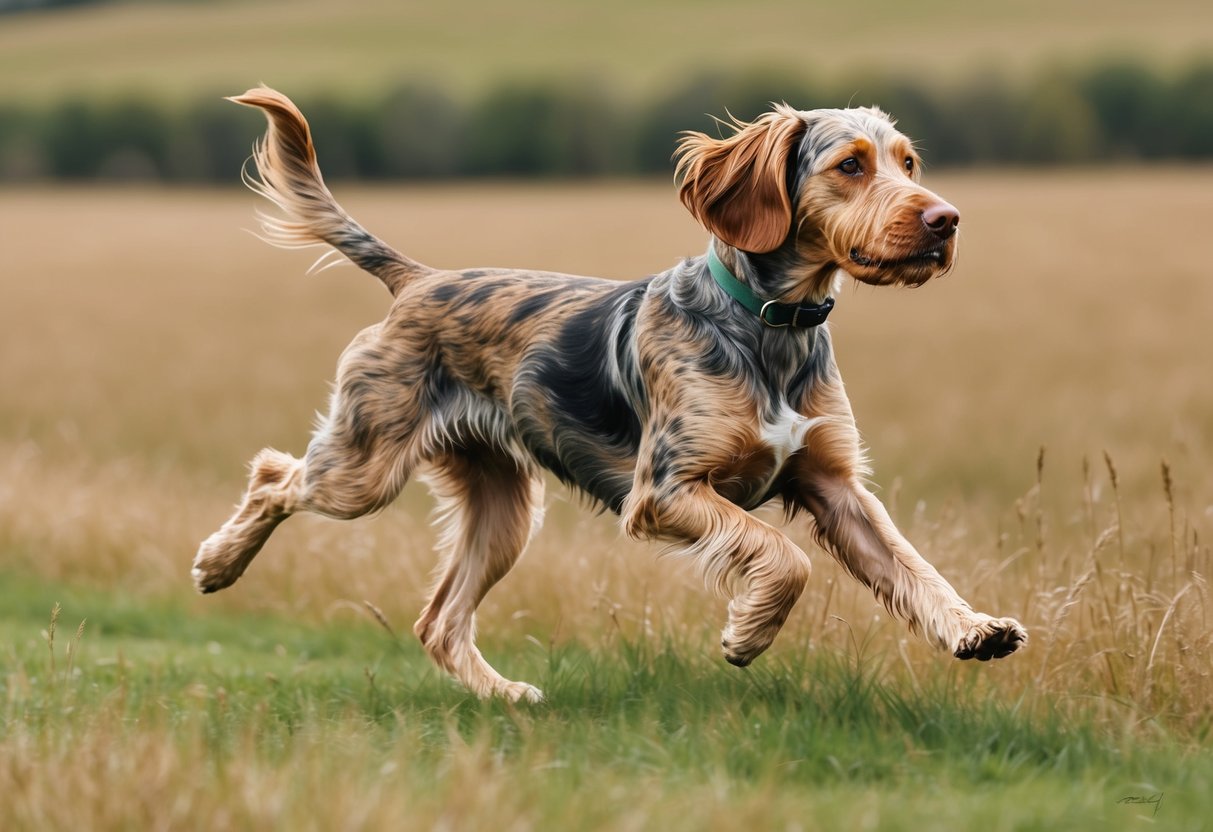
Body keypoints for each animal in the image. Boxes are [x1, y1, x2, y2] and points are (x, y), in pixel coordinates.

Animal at [194, 86, 1028, 703]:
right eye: (850, 165)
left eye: (907, 161)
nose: (945, 220)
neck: (770, 330)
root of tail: (420, 279)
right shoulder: (663, 490)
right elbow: (782, 556)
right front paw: (747, 633)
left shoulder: (837, 488)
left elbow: (914, 570)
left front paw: (974, 629)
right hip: (362, 469)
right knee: (274, 474)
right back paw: (218, 563)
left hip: (504, 509)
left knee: (437, 620)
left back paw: (503, 696)